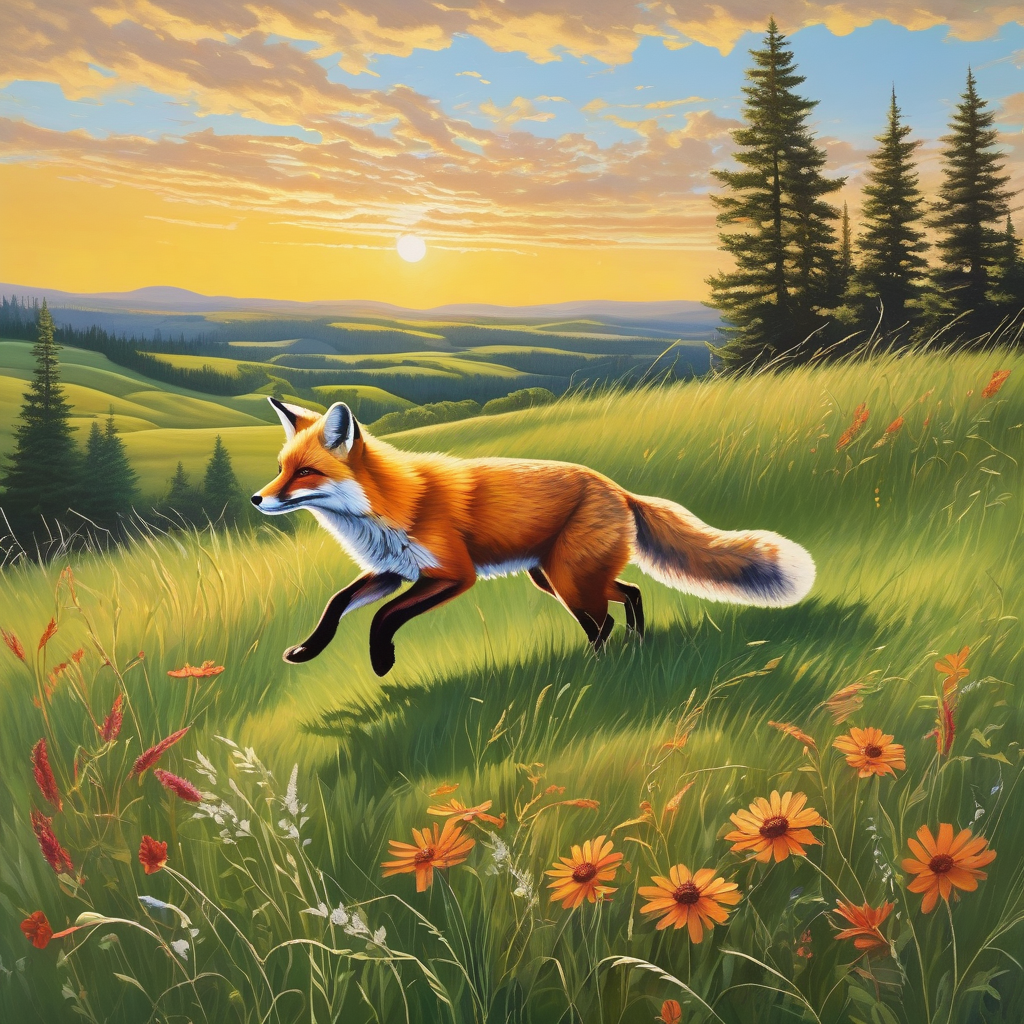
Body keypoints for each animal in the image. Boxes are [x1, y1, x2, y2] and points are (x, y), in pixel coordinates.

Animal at [252, 398, 815, 675]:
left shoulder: (452, 575)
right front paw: (305, 652)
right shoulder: (393, 571)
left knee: (604, 621)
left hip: (569, 579)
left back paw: (598, 671)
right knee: (628, 597)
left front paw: (381, 660)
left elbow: (382, 618)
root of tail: (616, 487)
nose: (257, 499)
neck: (389, 502)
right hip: (558, 578)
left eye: (305, 472)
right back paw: (632, 649)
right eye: (281, 468)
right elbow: (336, 604)